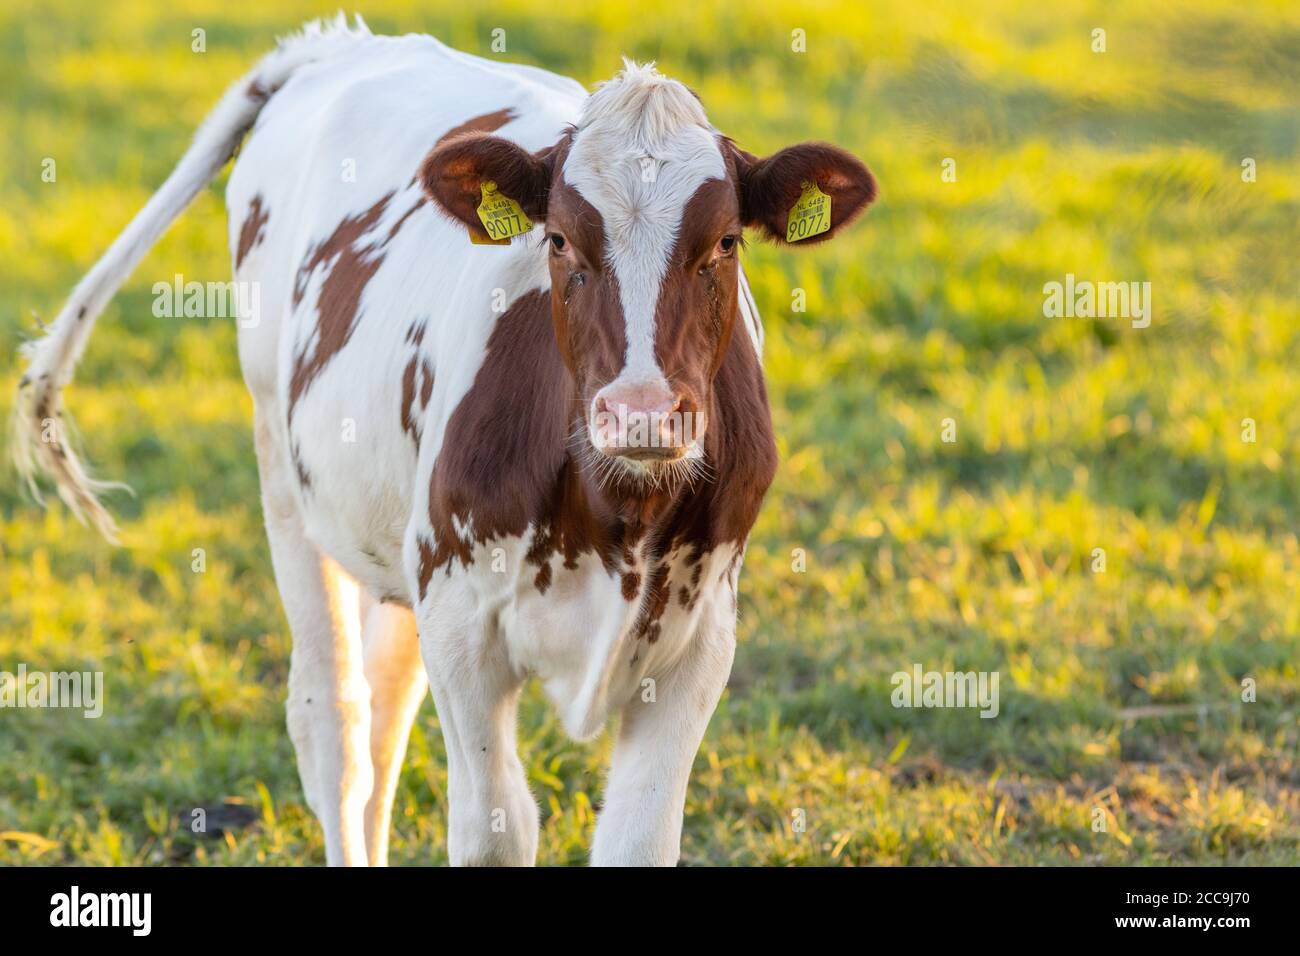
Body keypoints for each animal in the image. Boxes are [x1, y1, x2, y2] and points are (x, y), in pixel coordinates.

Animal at [12, 14, 873, 868]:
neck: (616, 515)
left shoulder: (699, 640)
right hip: (287, 476)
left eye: (725, 242)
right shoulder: (463, 625)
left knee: (385, 714)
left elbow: (637, 837)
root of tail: (343, 42)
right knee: (336, 727)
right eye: (559, 240)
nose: (641, 415)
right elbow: (495, 828)